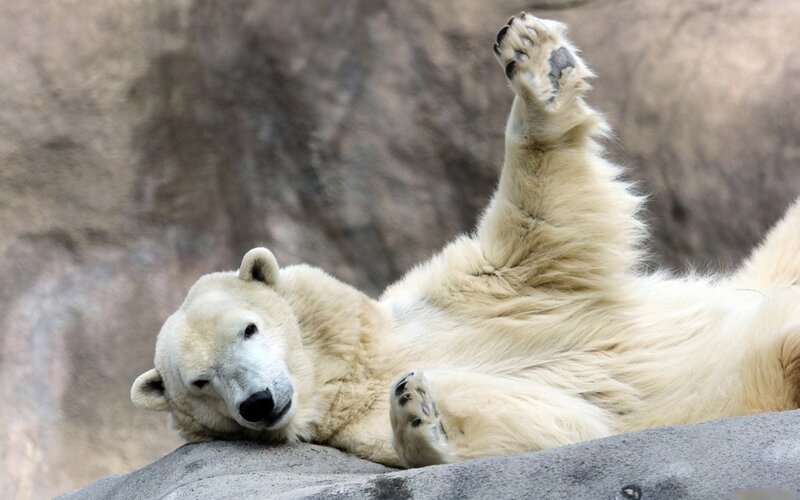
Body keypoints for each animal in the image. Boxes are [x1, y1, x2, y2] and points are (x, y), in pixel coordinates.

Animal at [131, 12, 800, 468]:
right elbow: (555, 422)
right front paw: (421, 415)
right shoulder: (352, 430)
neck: (352, 368)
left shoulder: (470, 291)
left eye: (248, 328)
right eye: (200, 382)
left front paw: (535, 61)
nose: (259, 402)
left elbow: (538, 225)